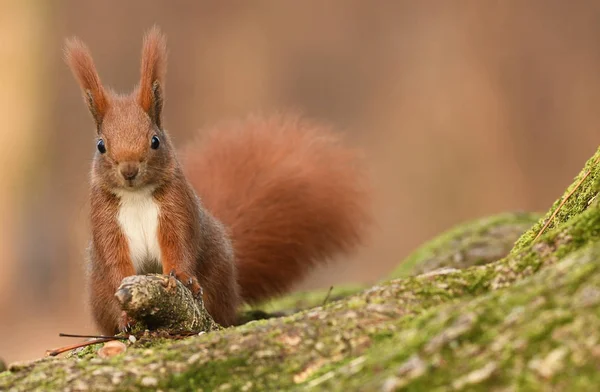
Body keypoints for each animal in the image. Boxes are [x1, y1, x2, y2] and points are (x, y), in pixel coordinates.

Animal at [64, 26, 370, 334]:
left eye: (155, 141)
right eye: (101, 146)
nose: (129, 171)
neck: (137, 195)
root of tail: (234, 285)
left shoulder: (177, 210)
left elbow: (180, 246)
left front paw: (184, 278)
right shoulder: (106, 222)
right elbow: (116, 263)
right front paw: (126, 317)